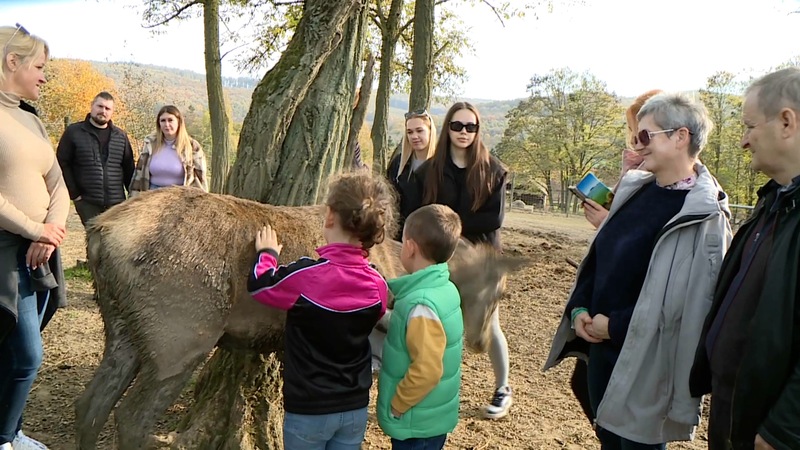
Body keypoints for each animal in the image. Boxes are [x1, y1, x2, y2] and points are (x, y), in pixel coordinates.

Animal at [73, 187, 524, 450]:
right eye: (499, 292)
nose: (482, 341)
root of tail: (98, 232)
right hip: (180, 332)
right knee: (130, 416)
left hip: (123, 326)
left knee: (92, 403)